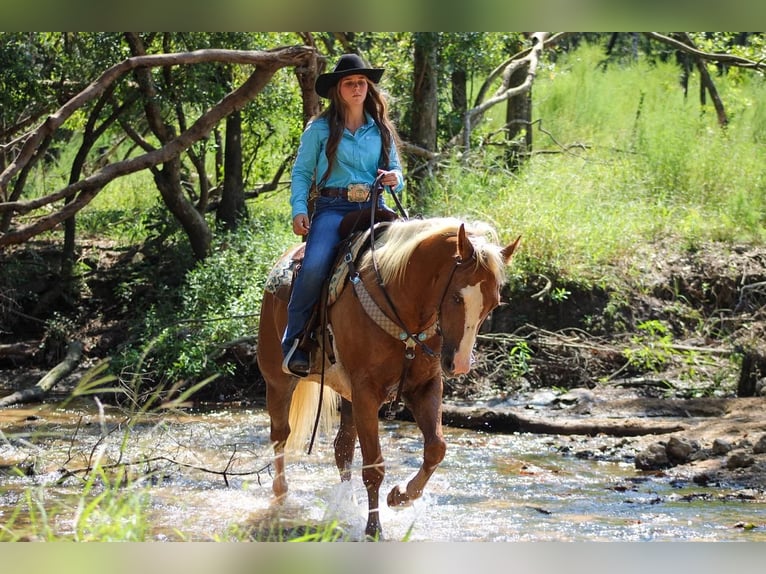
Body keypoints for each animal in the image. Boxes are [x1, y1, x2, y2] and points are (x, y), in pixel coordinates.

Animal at [258, 218, 520, 544]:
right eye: (457, 297)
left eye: (493, 304)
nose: (459, 365)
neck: (403, 305)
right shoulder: (367, 393)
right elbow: (374, 466)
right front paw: (374, 530)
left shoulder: (424, 387)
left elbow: (436, 448)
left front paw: (401, 495)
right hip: (278, 379)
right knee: (280, 435)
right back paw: (282, 496)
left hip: (347, 395)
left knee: (342, 449)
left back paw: (347, 505)